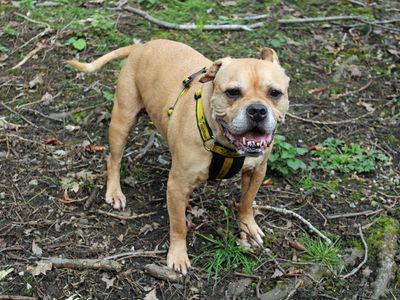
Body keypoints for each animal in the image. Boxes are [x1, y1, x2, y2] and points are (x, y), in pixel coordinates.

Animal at [67, 39, 290, 274]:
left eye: (275, 93)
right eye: (232, 92)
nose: (257, 110)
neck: (224, 142)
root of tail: (141, 46)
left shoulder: (257, 171)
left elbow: (246, 203)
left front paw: (248, 228)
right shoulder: (176, 186)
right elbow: (178, 225)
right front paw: (178, 255)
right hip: (122, 120)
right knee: (114, 159)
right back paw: (114, 192)